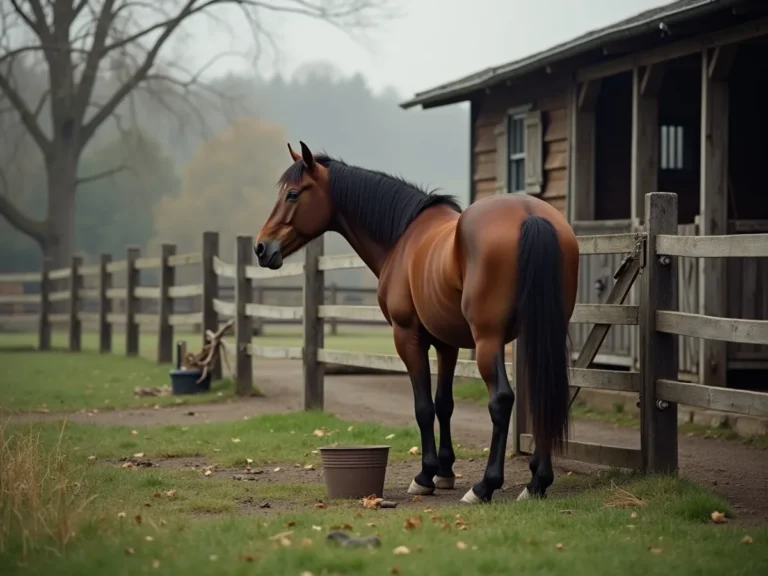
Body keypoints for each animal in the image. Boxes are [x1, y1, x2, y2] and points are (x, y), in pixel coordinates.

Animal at [255, 141, 579, 504]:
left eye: (293, 194)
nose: (261, 247)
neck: (403, 238)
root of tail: (529, 214)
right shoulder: (448, 343)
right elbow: (444, 403)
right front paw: (445, 471)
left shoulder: (408, 336)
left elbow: (424, 407)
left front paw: (425, 476)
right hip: (541, 334)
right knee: (542, 397)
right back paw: (537, 482)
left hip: (489, 340)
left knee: (501, 400)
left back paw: (485, 486)